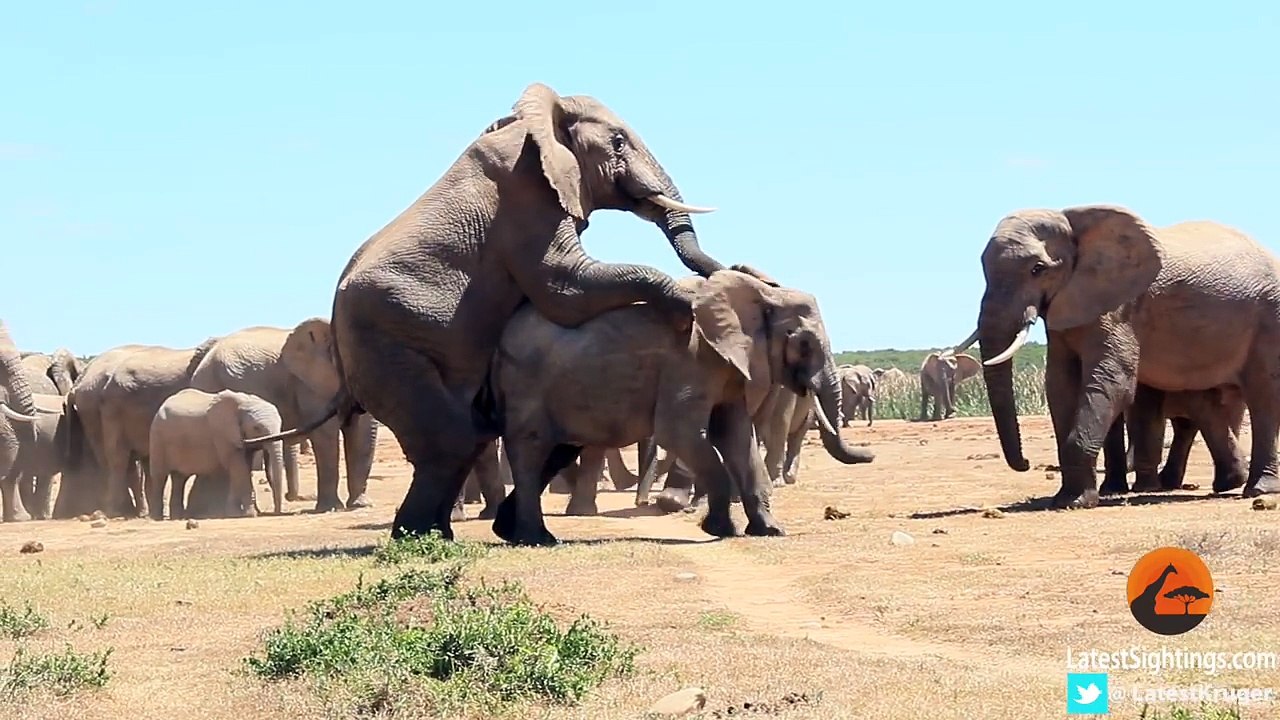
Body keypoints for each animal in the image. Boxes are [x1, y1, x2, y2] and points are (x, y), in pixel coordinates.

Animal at [147, 389, 287, 519]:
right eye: (256, 428)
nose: (277, 513)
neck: (245, 402)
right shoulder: (223, 434)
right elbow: (239, 468)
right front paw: (249, 514)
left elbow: (243, 468)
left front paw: (234, 513)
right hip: (157, 437)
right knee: (160, 476)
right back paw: (157, 518)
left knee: (179, 478)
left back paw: (177, 517)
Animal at [188, 319, 377, 513]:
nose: (288, 497)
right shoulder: (309, 384)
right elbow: (326, 433)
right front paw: (332, 508)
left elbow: (360, 431)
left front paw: (360, 505)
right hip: (210, 384)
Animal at [254, 82, 734, 541]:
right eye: (618, 142)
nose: (729, 270)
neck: (541, 120)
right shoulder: (526, 198)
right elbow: (566, 289)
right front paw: (684, 310)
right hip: (386, 345)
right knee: (450, 440)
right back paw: (421, 537)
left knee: (464, 438)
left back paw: (440, 532)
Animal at [490, 269, 873, 545]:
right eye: (804, 344)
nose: (870, 454)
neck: (762, 294)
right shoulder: (691, 361)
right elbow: (681, 434)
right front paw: (719, 530)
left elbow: (736, 436)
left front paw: (770, 531)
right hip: (526, 384)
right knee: (531, 450)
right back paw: (537, 538)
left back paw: (510, 532)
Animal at [955, 204, 1280, 508]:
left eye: (1037, 269)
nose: (1025, 464)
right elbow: (1060, 386)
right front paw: (1068, 499)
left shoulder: (1119, 307)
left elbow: (1114, 382)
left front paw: (1074, 503)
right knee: (1205, 400)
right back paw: (1226, 483)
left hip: (1268, 315)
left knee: (1263, 394)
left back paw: (1258, 490)